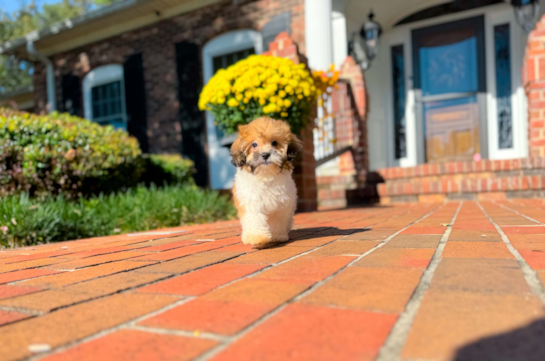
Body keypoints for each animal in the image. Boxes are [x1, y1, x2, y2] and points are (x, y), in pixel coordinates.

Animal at [228, 116, 302, 246]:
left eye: (274, 143)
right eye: (254, 144)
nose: (265, 155)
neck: (265, 174)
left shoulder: (281, 203)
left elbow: (277, 220)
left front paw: (278, 236)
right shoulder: (250, 200)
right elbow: (254, 217)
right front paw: (256, 237)